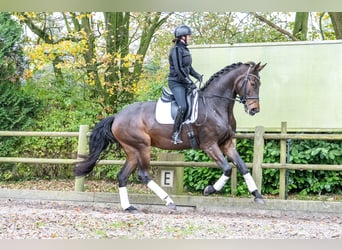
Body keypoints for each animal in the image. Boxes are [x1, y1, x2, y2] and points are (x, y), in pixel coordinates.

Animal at [74, 61, 268, 212]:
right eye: (252, 83)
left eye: (259, 84)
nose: (254, 109)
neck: (215, 105)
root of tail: (117, 117)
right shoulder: (210, 145)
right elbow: (228, 169)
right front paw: (209, 189)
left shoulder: (226, 144)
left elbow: (243, 167)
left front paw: (258, 195)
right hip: (142, 147)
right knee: (143, 174)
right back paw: (169, 201)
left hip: (132, 151)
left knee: (122, 176)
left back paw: (129, 207)